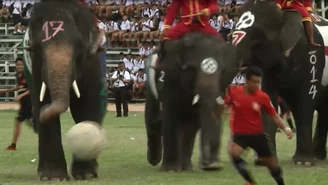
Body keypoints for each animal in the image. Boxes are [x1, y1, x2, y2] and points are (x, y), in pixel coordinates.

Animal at [21, 0, 107, 181]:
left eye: (80, 46)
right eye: (36, 47)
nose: (33, 119)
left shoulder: (93, 60)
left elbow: (90, 100)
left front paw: (86, 174)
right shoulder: (36, 66)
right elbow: (42, 98)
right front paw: (53, 177)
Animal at [145, 32, 240, 172]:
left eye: (223, 71)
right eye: (190, 69)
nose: (207, 164)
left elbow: (201, 119)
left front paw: (211, 166)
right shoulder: (169, 79)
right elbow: (170, 116)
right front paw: (170, 170)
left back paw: (185, 168)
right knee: (153, 123)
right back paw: (154, 160)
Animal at [232, 0, 328, 165]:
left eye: (258, 39)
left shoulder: (312, 59)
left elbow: (307, 99)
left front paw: (303, 163)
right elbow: (267, 98)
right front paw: (264, 160)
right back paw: (318, 156)